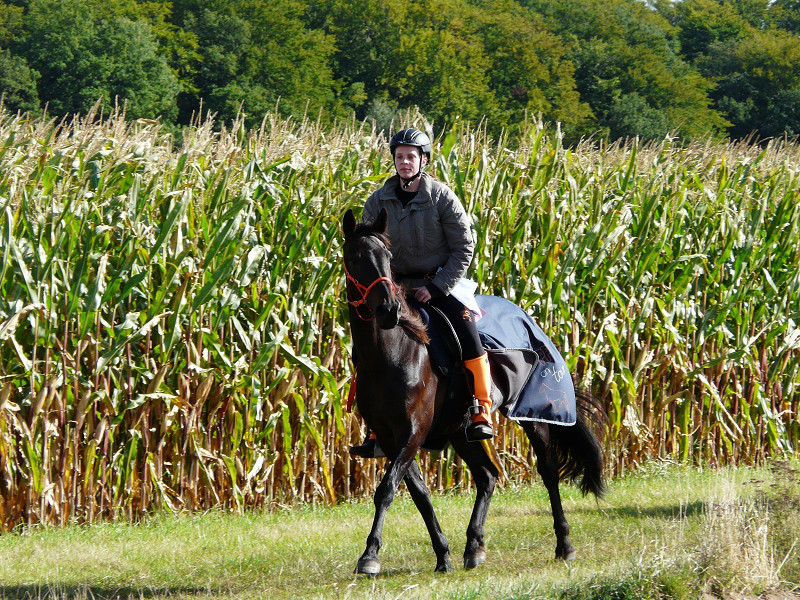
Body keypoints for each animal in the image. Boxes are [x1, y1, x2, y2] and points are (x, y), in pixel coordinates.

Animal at [342, 207, 606, 574]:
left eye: (388, 258)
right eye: (355, 258)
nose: (390, 310)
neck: (390, 354)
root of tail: (527, 318)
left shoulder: (412, 431)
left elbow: (387, 489)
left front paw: (369, 556)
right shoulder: (390, 437)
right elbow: (419, 494)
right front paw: (442, 554)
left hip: (533, 415)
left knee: (548, 471)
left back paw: (564, 544)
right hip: (460, 431)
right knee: (487, 476)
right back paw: (474, 546)